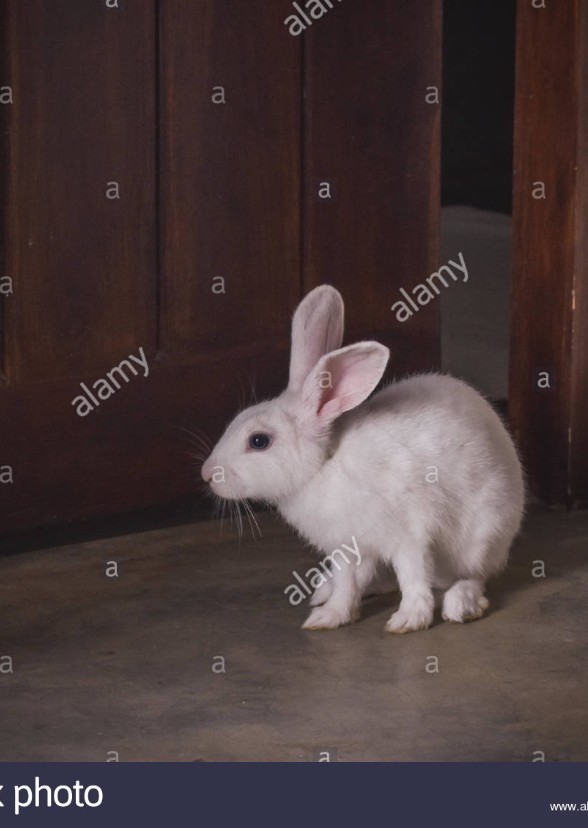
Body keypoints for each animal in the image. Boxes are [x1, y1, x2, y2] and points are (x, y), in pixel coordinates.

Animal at [201, 284, 525, 633]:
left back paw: (461, 604)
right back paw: (325, 591)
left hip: (479, 541)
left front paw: (409, 620)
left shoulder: (408, 535)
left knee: (474, 577)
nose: (207, 474)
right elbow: (347, 584)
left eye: (259, 441)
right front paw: (330, 617)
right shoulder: (345, 548)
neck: (323, 467)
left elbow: (413, 577)